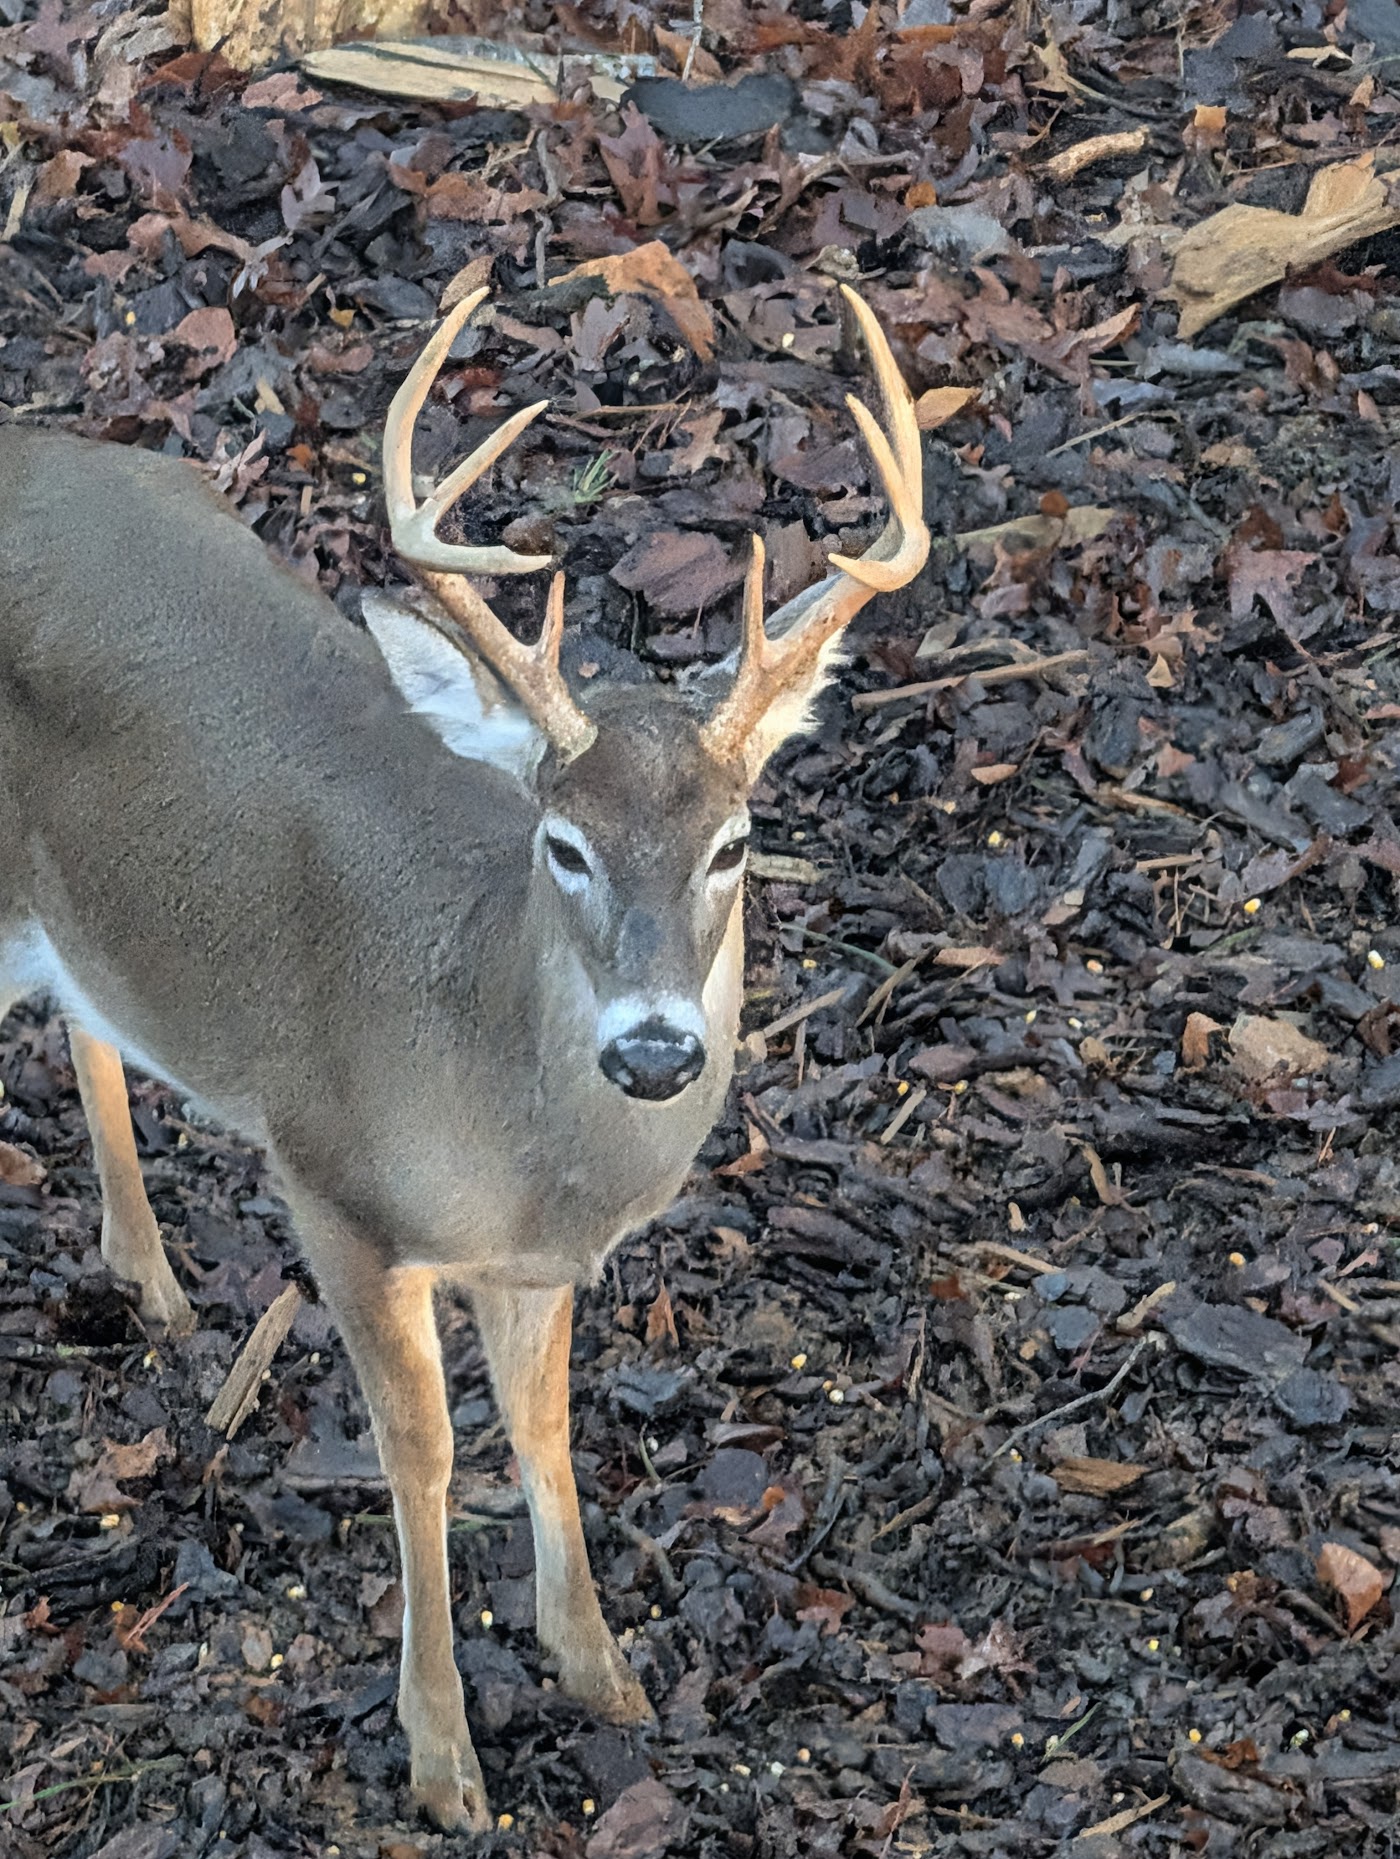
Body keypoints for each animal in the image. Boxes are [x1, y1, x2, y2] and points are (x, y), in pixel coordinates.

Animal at [0, 283, 927, 1833]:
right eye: (564, 842)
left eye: (733, 842)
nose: (658, 1049)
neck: (500, 1122)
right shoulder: (332, 1182)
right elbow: (421, 1451)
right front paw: (443, 1758)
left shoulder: (535, 1261)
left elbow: (543, 1428)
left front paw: (600, 1668)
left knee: (89, 1003)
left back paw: (155, 1281)